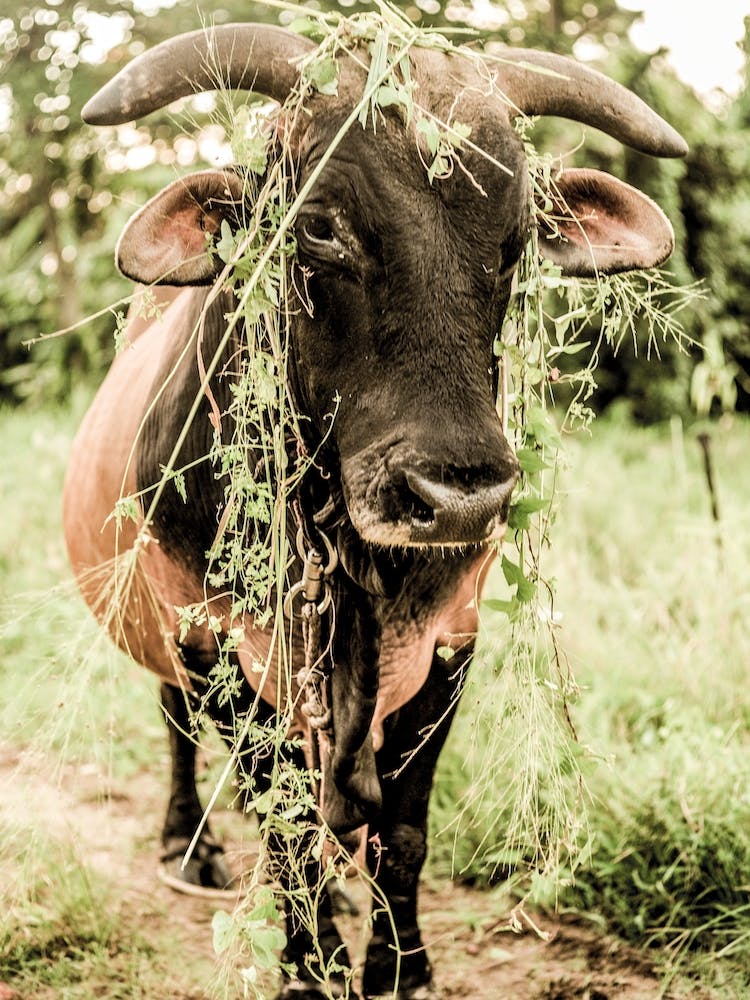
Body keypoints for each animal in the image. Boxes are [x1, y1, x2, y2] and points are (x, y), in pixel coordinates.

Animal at [63, 22, 686, 1000]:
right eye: (318, 226)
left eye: (515, 242)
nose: (460, 496)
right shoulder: (224, 648)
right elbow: (287, 837)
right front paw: (308, 967)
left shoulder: (449, 644)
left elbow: (401, 831)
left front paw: (400, 966)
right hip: (167, 636)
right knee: (177, 730)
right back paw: (185, 847)